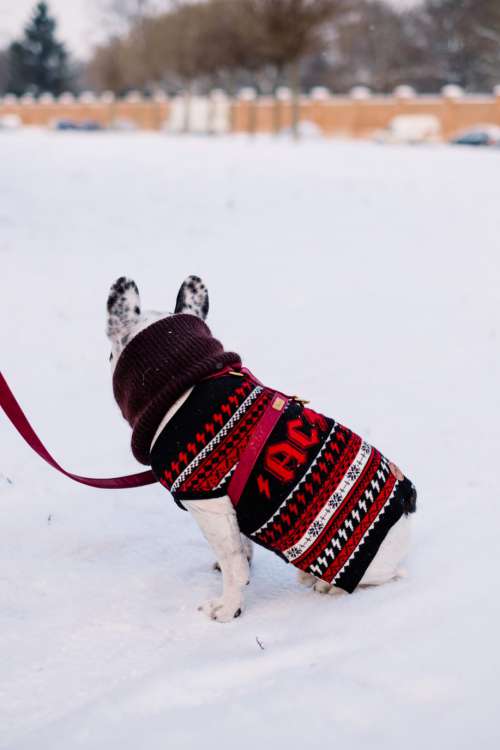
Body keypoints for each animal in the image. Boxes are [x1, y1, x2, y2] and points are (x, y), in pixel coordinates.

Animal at [107, 276, 416, 624]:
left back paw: (325, 585)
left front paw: (228, 607)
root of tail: (407, 504)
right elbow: (240, 547)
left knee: (381, 579)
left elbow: (233, 565)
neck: (185, 387)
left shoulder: (209, 506)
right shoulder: (231, 509)